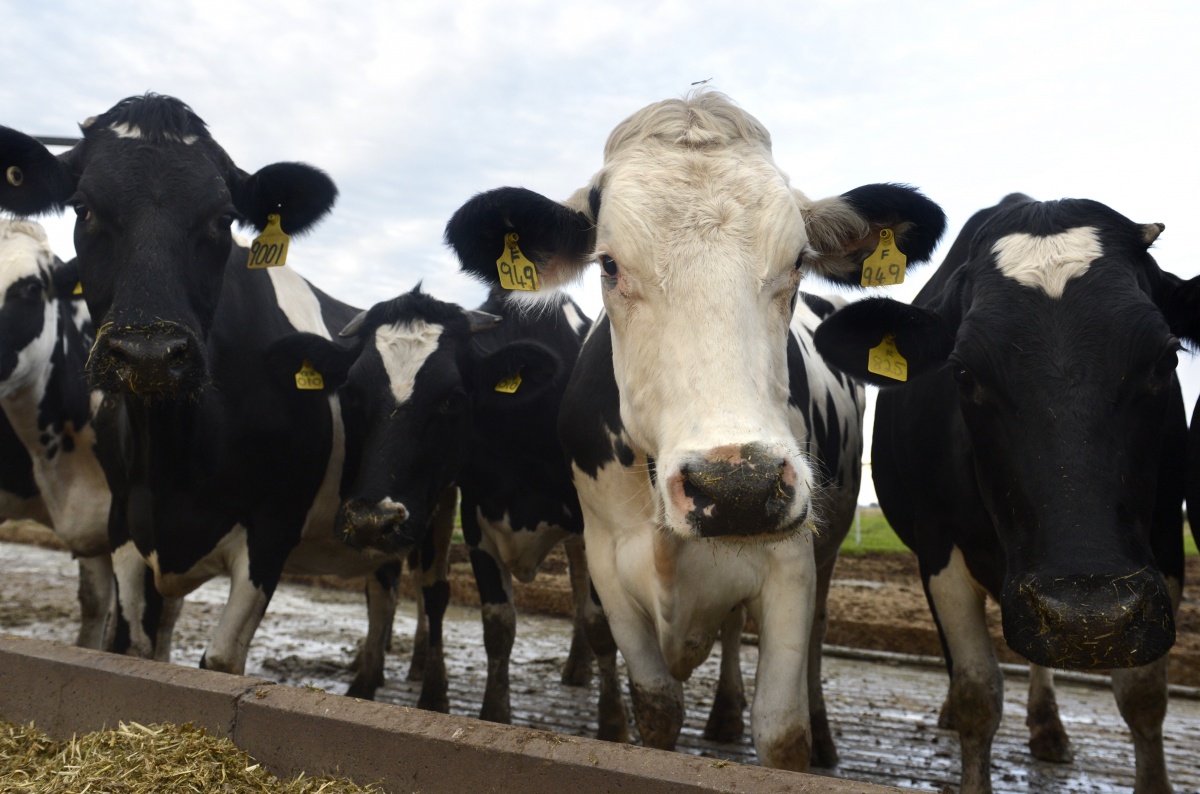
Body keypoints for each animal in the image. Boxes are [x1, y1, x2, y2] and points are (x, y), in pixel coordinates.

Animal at [444, 90, 946, 770]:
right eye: (608, 264)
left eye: (797, 262)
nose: (738, 486)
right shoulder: (608, 565)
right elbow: (656, 709)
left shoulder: (791, 565)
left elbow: (782, 731)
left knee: (813, 638)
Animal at [813, 193, 1193, 794]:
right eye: (963, 373)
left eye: (1166, 359)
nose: (1090, 615)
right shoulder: (939, 548)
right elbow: (978, 694)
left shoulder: (1163, 544)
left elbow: (1143, 697)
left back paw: (1048, 728)